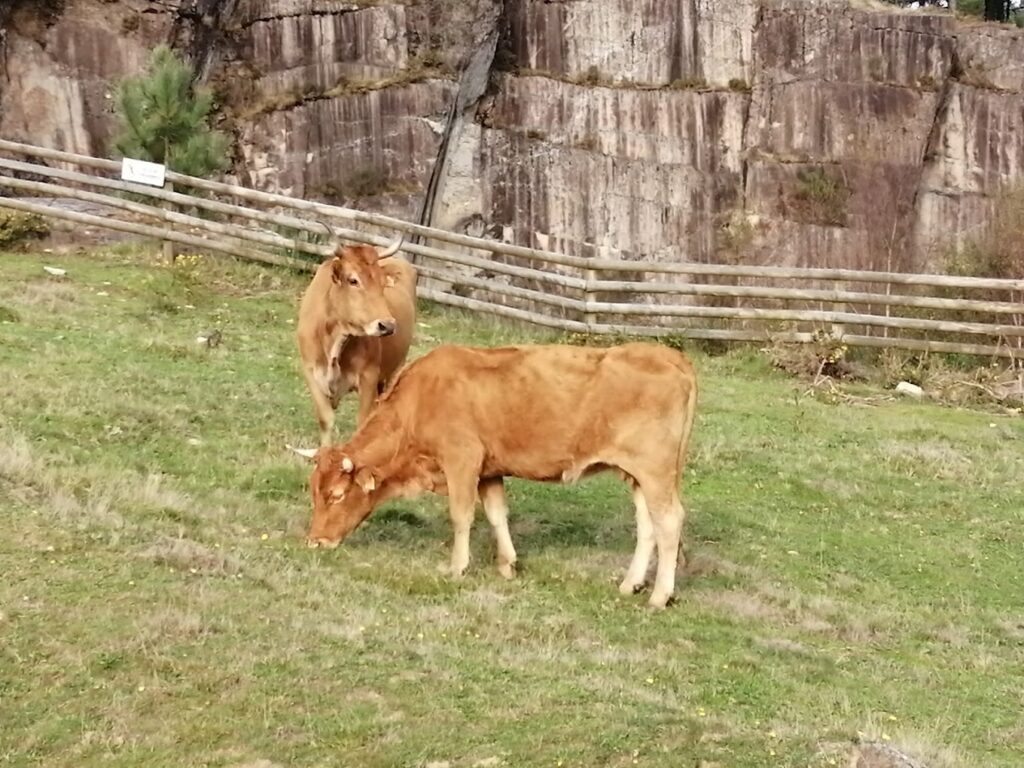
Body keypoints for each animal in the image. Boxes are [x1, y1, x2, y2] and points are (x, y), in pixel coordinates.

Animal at [292, 346, 700, 610]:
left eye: (336, 495)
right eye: (313, 492)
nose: (315, 541)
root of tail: (670, 356)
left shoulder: (462, 461)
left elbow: (462, 516)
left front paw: (457, 567)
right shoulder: (489, 470)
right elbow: (496, 514)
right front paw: (507, 564)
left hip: (656, 472)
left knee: (669, 521)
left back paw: (659, 596)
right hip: (638, 476)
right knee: (648, 525)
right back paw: (630, 584)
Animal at [299, 236, 417, 444]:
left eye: (382, 283)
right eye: (353, 280)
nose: (387, 325)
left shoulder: (369, 376)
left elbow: (362, 422)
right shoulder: (310, 371)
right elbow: (325, 419)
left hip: (396, 369)